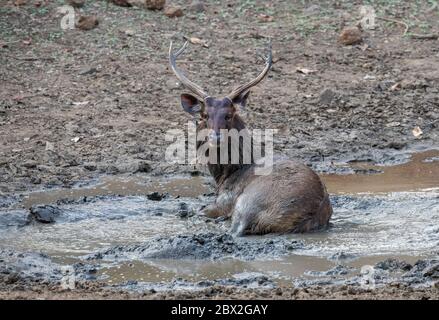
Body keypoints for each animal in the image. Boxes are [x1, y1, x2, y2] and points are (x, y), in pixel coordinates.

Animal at [169, 40, 334, 236]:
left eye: (229, 115)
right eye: (204, 115)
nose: (215, 137)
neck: (225, 175)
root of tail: (310, 213)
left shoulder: (224, 201)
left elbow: (199, 209)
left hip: (247, 201)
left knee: (236, 229)